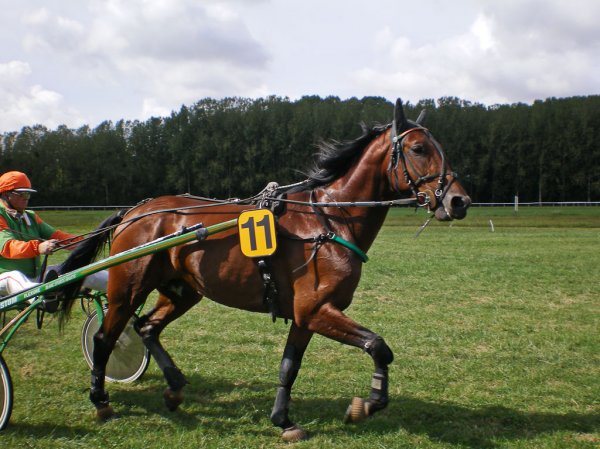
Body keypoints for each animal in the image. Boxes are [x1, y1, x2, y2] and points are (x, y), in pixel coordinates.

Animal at [58, 99, 468, 440]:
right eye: (419, 149)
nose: (459, 200)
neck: (330, 219)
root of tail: (135, 211)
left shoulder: (306, 315)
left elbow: (289, 367)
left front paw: (284, 421)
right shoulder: (317, 310)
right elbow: (379, 347)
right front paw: (366, 404)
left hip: (183, 290)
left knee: (147, 327)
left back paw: (174, 388)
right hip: (127, 290)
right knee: (105, 339)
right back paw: (101, 400)